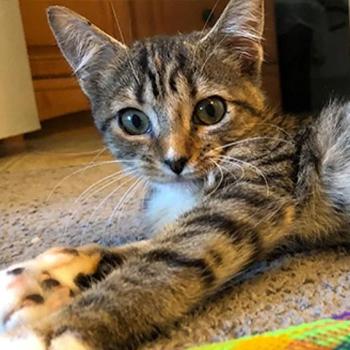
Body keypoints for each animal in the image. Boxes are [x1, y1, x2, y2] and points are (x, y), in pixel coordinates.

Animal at [0, 0, 350, 348]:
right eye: (133, 121)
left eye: (211, 110)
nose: (176, 160)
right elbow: (149, 244)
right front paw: (47, 276)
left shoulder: (254, 190)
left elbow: (166, 257)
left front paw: (55, 331)